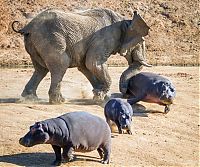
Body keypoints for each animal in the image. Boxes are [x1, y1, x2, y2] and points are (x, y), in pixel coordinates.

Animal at [12, 8, 150, 104]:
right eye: (141, 42)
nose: (125, 95)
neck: (125, 20)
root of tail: (28, 27)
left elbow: (85, 66)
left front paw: (100, 96)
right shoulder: (104, 39)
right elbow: (93, 63)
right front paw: (100, 97)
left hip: (35, 43)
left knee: (41, 69)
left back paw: (30, 99)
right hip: (51, 40)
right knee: (61, 65)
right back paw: (60, 101)